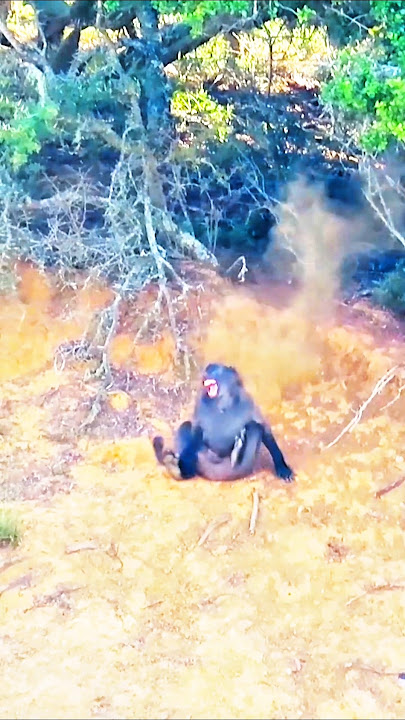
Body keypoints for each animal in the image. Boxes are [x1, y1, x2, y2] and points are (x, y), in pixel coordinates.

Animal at [153, 363, 294, 483]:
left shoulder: (248, 400)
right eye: (208, 369)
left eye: (215, 370)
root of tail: (218, 476)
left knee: (253, 427)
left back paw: (237, 453)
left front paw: (282, 466)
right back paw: (183, 470)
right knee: (186, 427)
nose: (206, 373)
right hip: (203, 460)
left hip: (239, 469)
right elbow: (196, 430)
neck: (222, 401)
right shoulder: (200, 402)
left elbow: (264, 428)